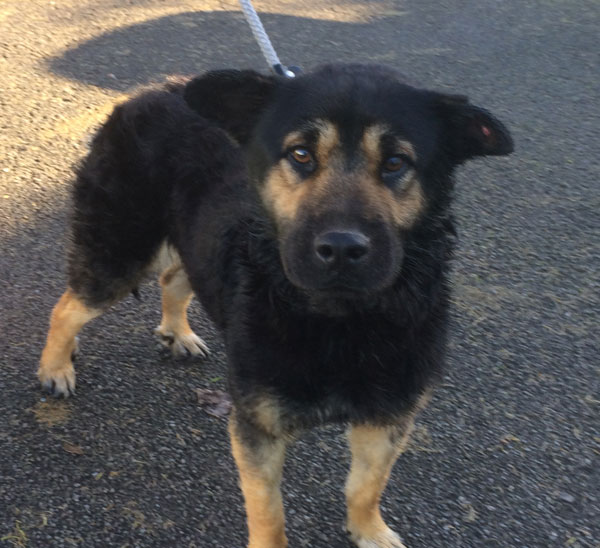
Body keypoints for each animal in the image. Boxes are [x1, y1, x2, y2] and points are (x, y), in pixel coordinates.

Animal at [39, 65, 512, 548]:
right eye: (301, 154)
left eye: (396, 162)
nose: (341, 249)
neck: (340, 318)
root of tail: (146, 93)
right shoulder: (258, 427)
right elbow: (269, 511)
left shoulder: (388, 416)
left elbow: (366, 486)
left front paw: (368, 531)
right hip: (121, 251)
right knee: (67, 307)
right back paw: (55, 366)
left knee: (172, 279)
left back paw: (179, 332)